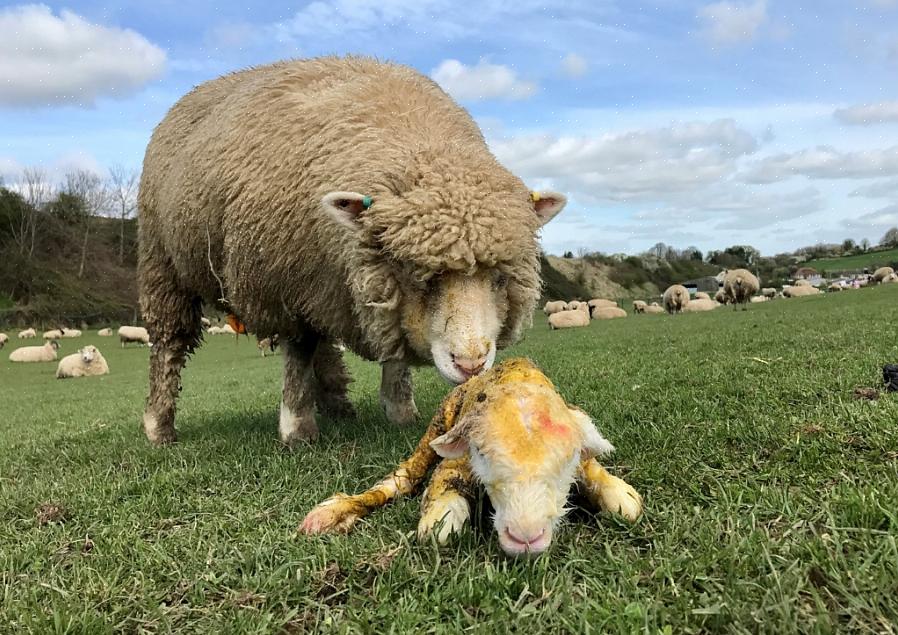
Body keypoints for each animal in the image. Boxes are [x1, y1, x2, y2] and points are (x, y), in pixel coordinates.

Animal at [136, 58, 564, 448]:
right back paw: (159, 427)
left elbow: (391, 346)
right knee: (169, 344)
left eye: (500, 277)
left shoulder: (346, 283)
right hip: (163, 263)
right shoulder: (285, 286)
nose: (471, 364)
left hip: (323, 284)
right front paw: (297, 427)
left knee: (325, 342)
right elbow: (299, 351)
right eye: (413, 275)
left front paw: (399, 408)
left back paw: (338, 404)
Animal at [304, 358, 640, 556]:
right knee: (405, 476)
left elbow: (627, 506)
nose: (525, 537)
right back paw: (329, 515)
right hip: (440, 421)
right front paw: (442, 521)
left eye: (568, 460)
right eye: (482, 454)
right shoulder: (457, 460)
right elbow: (439, 525)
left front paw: (620, 493)